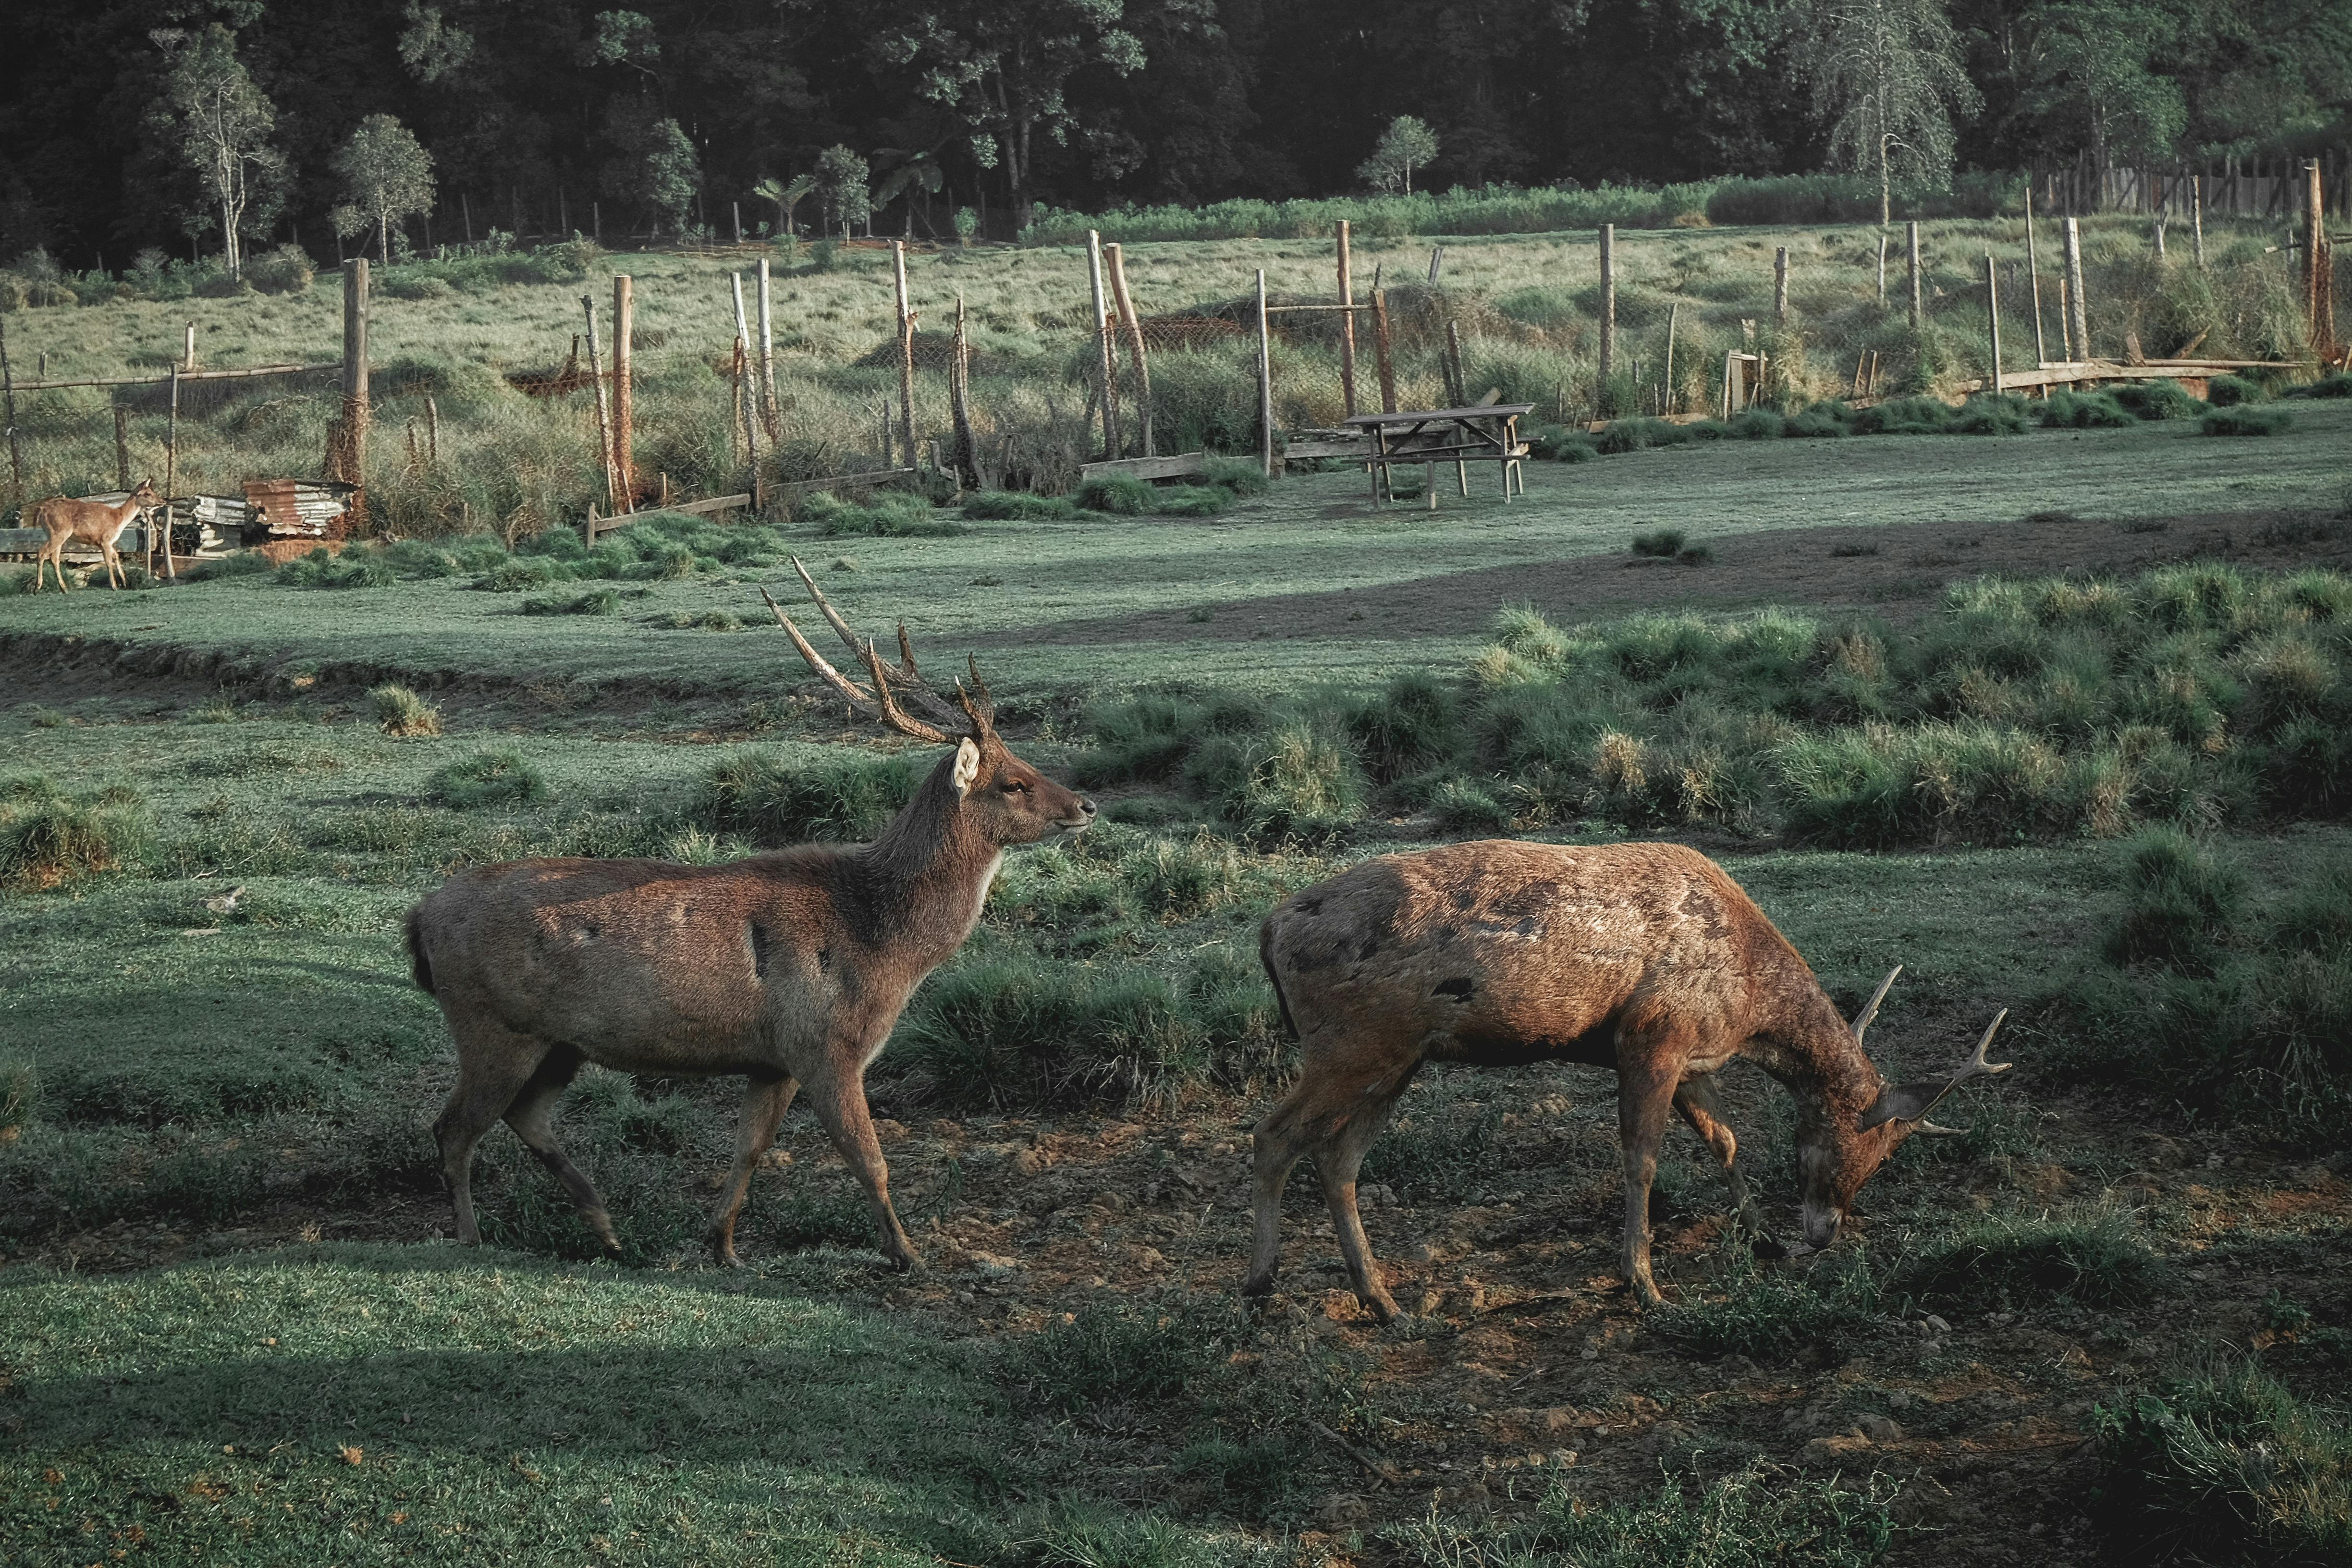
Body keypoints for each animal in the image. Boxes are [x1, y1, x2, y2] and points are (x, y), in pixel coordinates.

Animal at [30, 475, 162, 592]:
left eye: (153, 491)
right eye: (148, 493)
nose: (163, 501)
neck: (119, 519)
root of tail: (42, 511)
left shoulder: (106, 542)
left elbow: (116, 557)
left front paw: (125, 583)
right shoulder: (106, 540)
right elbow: (108, 562)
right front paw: (115, 586)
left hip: (54, 534)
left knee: (54, 558)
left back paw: (64, 589)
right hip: (59, 532)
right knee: (42, 553)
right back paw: (37, 588)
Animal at [409, 557, 1096, 1269]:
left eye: (1026, 760)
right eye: (1012, 783)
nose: (1086, 805)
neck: (886, 946)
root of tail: (418, 920)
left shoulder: (771, 1060)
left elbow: (750, 1151)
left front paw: (724, 1244)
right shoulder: (823, 1043)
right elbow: (870, 1159)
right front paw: (907, 1254)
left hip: (557, 1043)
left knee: (525, 1116)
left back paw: (606, 1227)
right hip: (492, 1025)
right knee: (452, 1126)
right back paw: (471, 1235)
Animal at [1242, 841, 2013, 1316]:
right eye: (1871, 1150)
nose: (1823, 1234)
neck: (1748, 1009)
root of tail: (1268, 929)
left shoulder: (1692, 1057)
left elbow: (1726, 1140)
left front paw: (1760, 1237)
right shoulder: (1653, 1036)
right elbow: (1641, 1158)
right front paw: (1644, 1281)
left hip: (1400, 1056)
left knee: (1338, 1158)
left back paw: (1382, 1300)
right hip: (1351, 1042)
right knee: (1274, 1136)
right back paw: (1259, 1281)